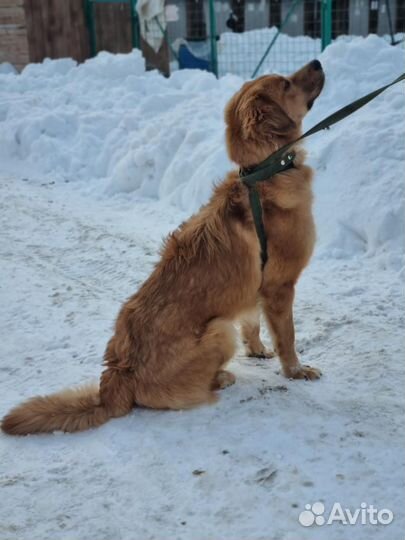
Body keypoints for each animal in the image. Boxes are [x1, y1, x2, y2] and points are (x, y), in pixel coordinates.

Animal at [1, 61, 326, 436]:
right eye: (286, 83)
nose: (317, 63)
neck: (265, 172)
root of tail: (117, 377)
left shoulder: (255, 290)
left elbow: (251, 322)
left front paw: (258, 350)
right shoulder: (279, 287)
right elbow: (286, 336)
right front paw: (295, 370)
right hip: (219, 330)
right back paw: (222, 377)